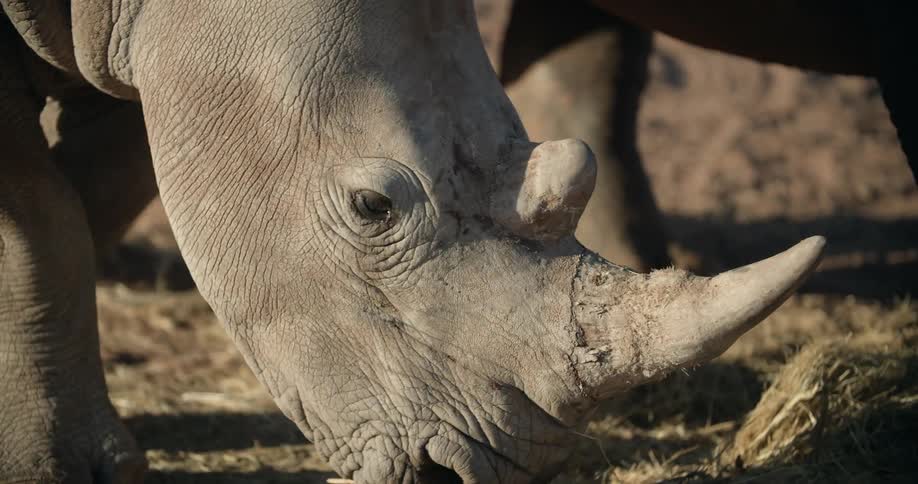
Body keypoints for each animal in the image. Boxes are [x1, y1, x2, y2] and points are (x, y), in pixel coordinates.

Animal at [0, 1, 825, 482]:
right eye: (371, 207)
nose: (466, 477)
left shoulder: (133, 46)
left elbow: (99, 184)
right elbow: (39, 222)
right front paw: (59, 471)